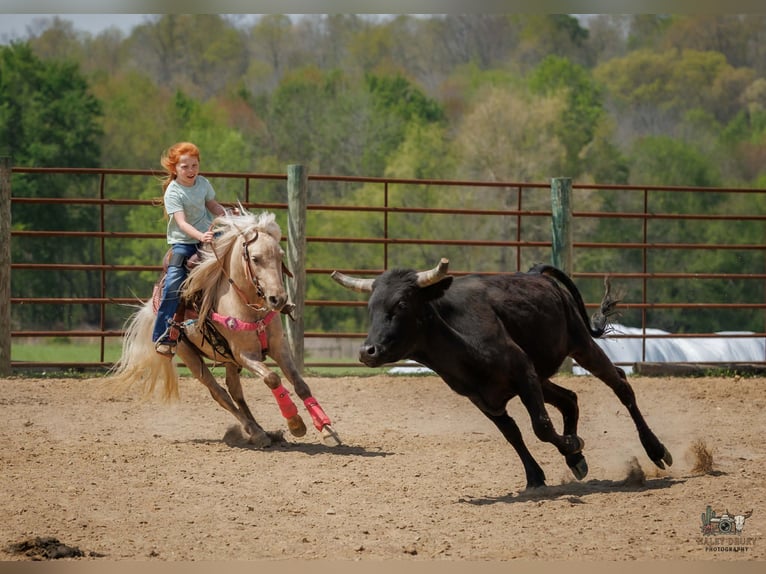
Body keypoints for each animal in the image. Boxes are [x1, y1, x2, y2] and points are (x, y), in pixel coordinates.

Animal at [108, 208, 341, 447]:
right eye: (255, 258)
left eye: (280, 255)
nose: (278, 299)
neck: (249, 306)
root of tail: (154, 302)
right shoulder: (244, 355)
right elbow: (272, 378)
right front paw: (295, 423)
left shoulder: (278, 347)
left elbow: (300, 384)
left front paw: (327, 429)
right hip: (189, 355)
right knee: (219, 393)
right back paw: (255, 432)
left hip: (228, 360)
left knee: (235, 391)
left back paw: (262, 431)